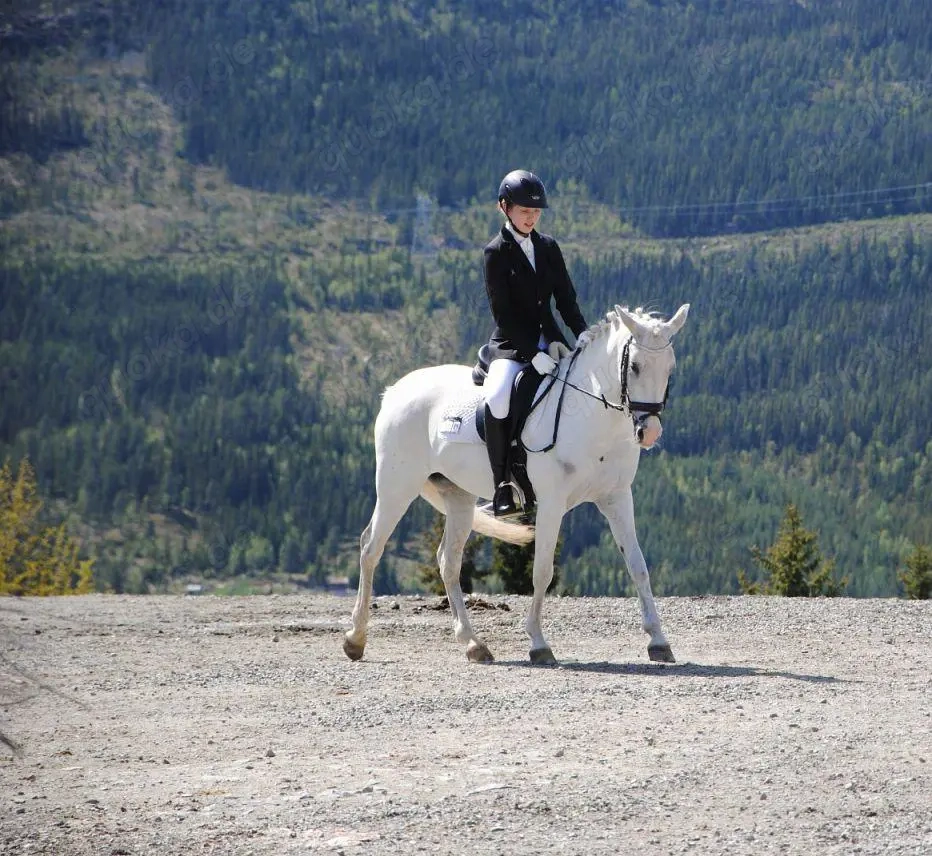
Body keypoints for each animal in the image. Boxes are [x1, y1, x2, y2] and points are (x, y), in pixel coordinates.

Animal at [343, 303, 690, 665]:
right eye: (634, 366)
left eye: (670, 368)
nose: (649, 433)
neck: (593, 419)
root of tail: (395, 391)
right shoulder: (552, 503)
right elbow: (542, 572)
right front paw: (538, 643)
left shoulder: (617, 498)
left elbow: (638, 566)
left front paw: (658, 641)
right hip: (397, 484)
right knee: (370, 547)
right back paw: (355, 638)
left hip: (457, 497)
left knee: (448, 562)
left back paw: (473, 644)